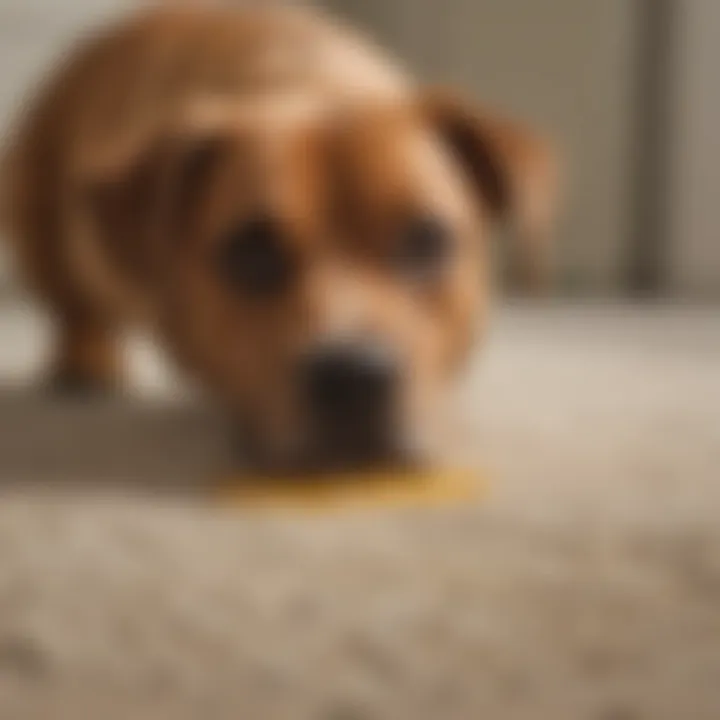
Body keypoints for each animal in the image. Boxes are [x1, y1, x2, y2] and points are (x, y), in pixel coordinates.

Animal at [0, 2, 556, 476]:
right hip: (43, 217)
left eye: (425, 240)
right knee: (72, 302)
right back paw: (85, 359)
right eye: (250, 252)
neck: (310, 81)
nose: (351, 378)